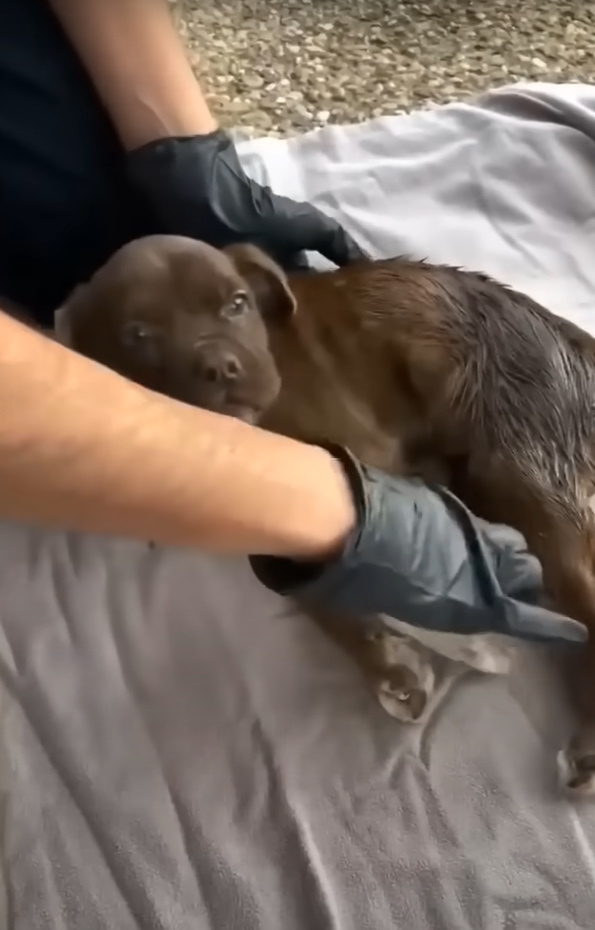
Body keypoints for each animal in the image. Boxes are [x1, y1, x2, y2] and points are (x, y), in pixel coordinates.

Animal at [56, 232, 595, 792]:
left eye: (236, 304)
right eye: (137, 335)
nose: (220, 368)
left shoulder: (367, 465)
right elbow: (326, 592)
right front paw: (391, 665)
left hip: (523, 474)